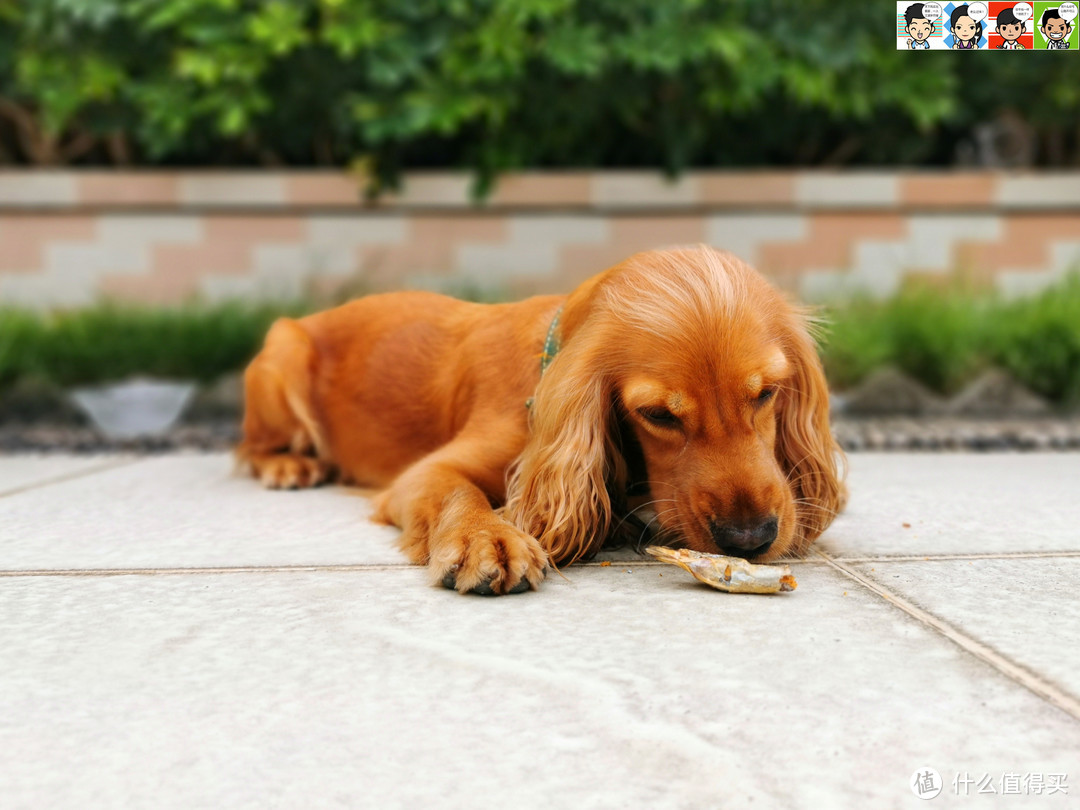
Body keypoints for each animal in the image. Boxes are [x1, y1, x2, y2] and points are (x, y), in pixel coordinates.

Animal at [236, 244, 842, 591]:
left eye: (766, 394)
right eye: (656, 415)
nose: (750, 538)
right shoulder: (424, 474)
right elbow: (457, 492)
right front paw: (486, 539)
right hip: (282, 356)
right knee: (249, 448)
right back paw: (287, 466)